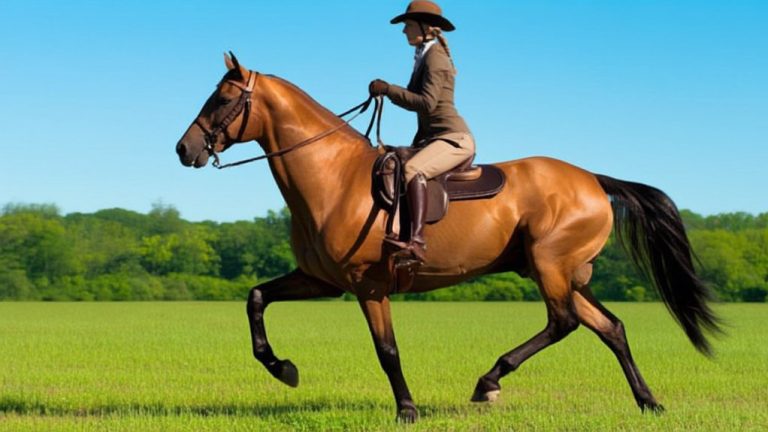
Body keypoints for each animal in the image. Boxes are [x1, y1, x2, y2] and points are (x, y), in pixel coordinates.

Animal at [175, 53, 720, 423]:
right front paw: (282, 368)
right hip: (558, 271)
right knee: (610, 328)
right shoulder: (321, 280)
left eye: (224, 99)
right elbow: (256, 297)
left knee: (563, 322)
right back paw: (648, 402)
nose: (184, 149)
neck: (333, 178)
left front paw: (407, 409)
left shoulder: (368, 286)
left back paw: (489, 381)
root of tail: (592, 179)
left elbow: (387, 350)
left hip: (550, 267)